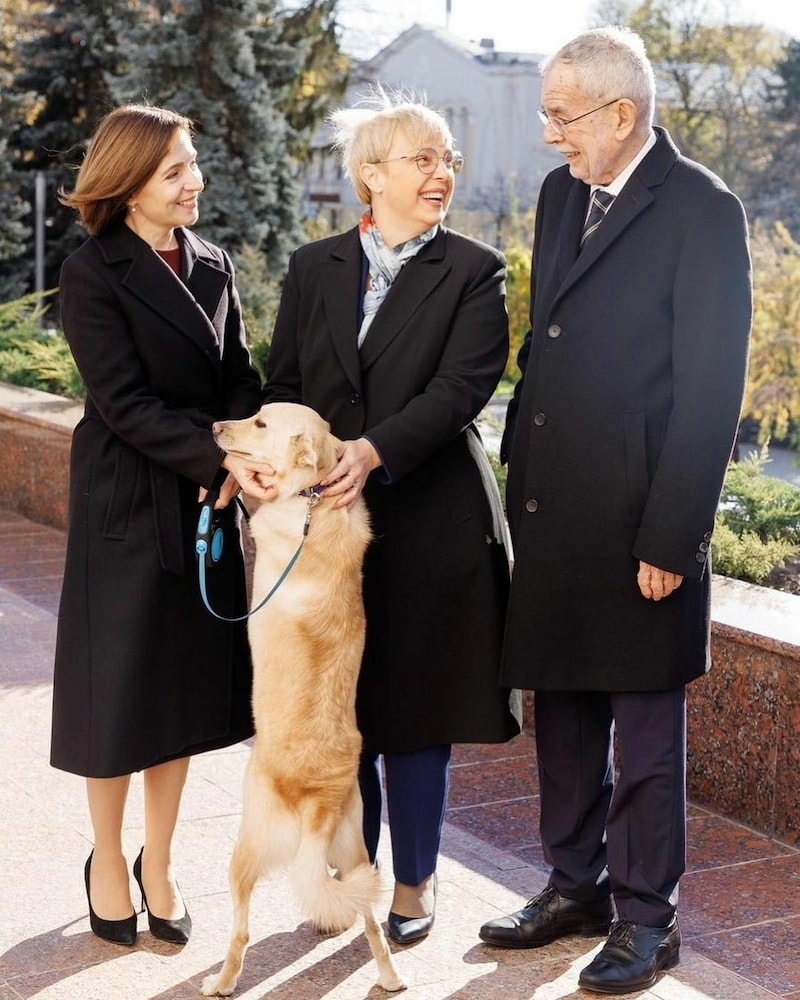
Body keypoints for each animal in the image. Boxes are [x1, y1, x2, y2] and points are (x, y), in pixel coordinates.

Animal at [198, 402, 404, 996]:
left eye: (262, 423)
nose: (215, 427)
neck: (315, 502)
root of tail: (316, 803)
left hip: (245, 848)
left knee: (241, 931)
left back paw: (221, 981)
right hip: (356, 855)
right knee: (371, 922)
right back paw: (391, 977)